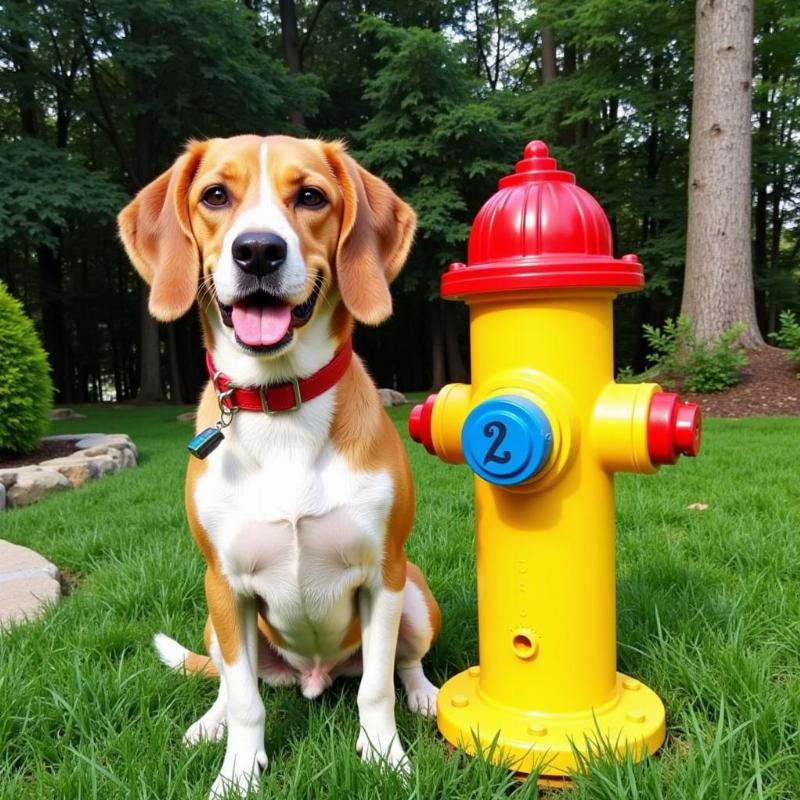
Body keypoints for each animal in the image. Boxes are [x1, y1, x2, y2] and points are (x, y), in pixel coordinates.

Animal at [118, 134, 440, 796]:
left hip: (417, 593)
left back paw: (424, 694)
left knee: (406, 661)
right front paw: (239, 772)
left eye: (311, 196)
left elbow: (376, 688)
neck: (279, 404)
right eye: (216, 195)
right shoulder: (224, 584)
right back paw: (207, 723)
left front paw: (385, 756)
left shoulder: (384, 576)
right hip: (213, 621)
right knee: (227, 679)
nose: (259, 250)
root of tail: (313, 677)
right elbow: (246, 699)